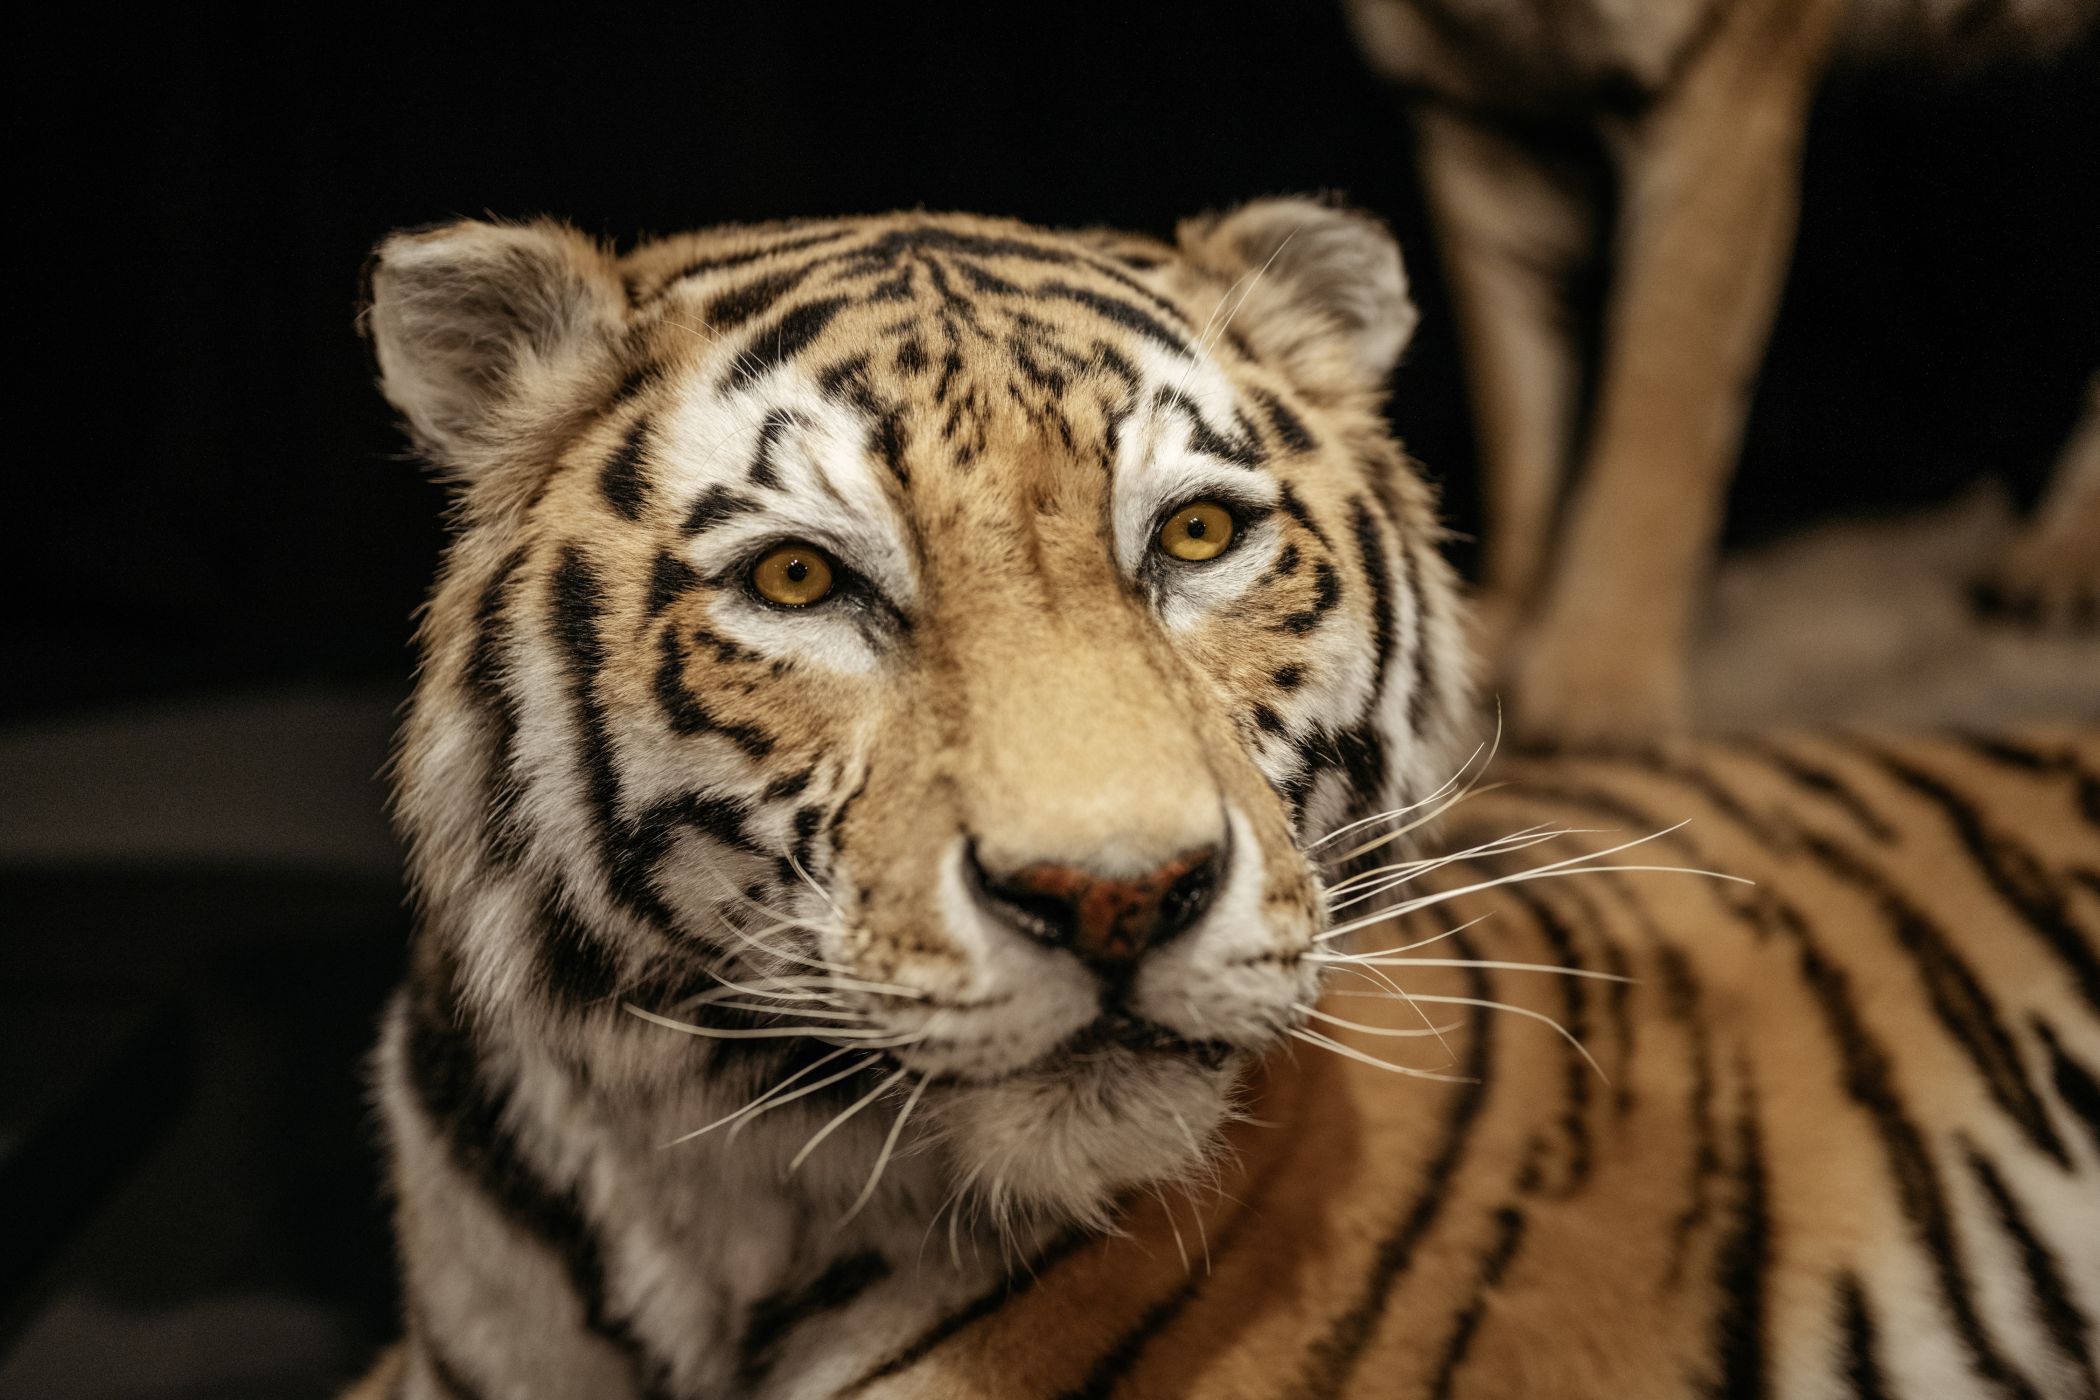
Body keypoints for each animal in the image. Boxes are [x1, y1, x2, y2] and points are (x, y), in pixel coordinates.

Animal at [1344, 0, 2100, 746]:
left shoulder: (1713, 94)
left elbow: (1652, 416)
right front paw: (1499, 629)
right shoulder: (1478, 110)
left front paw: (1597, 686)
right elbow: (1522, 423)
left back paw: (2066, 560)